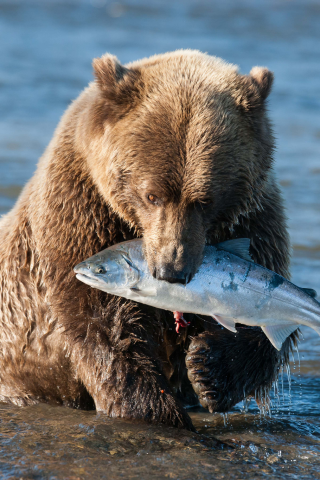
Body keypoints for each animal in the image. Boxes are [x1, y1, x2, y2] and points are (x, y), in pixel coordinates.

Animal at [0, 50, 296, 430]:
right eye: (152, 195)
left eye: (205, 200)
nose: (172, 270)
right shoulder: (81, 214)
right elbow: (107, 326)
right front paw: (157, 410)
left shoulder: (253, 220)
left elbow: (267, 313)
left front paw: (208, 370)